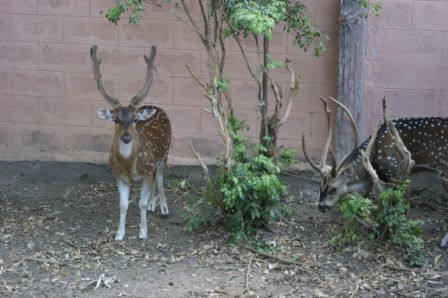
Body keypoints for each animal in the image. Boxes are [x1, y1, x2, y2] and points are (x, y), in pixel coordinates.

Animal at [90, 45, 171, 241]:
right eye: (116, 119)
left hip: (164, 153)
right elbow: (123, 204)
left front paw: (143, 232)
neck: (129, 165)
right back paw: (153, 206)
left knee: (159, 178)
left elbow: (140, 203)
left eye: (135, 119)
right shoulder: (118, 175)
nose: (126, 137)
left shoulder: (147, 170)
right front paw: (119, 234)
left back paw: (164, 209)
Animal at [300, 97, 448, 247]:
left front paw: (398, 232)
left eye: (333, 189)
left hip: (445, 171)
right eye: (319, 186)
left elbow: (402, 204)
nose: (321, 207)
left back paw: (443, 241)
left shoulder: (396, 172)